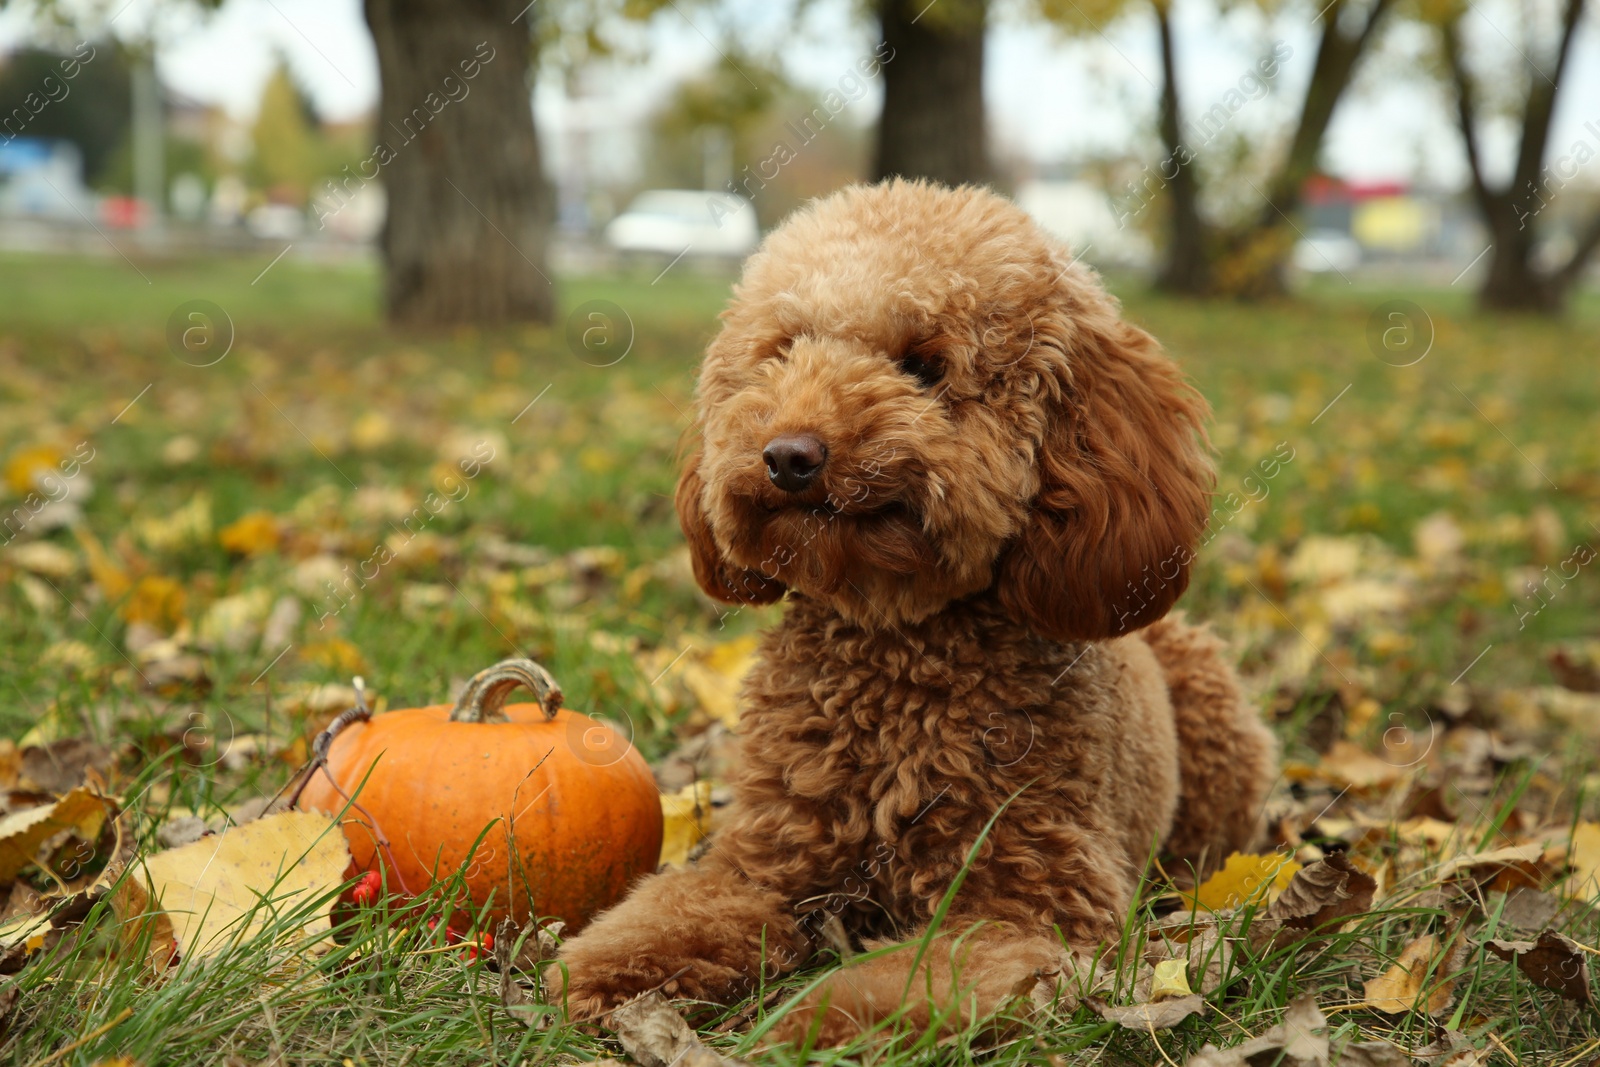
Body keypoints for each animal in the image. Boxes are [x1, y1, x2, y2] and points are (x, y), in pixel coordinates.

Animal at [556, 181, 1280, 1043]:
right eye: (784, 351)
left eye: (924, 366)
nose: (790, 455)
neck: (893, 650)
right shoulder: (763, 860)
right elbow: (677, 909)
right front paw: (605, 970)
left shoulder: (1032, 906)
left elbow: (895, 984)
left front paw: (806, 1025)